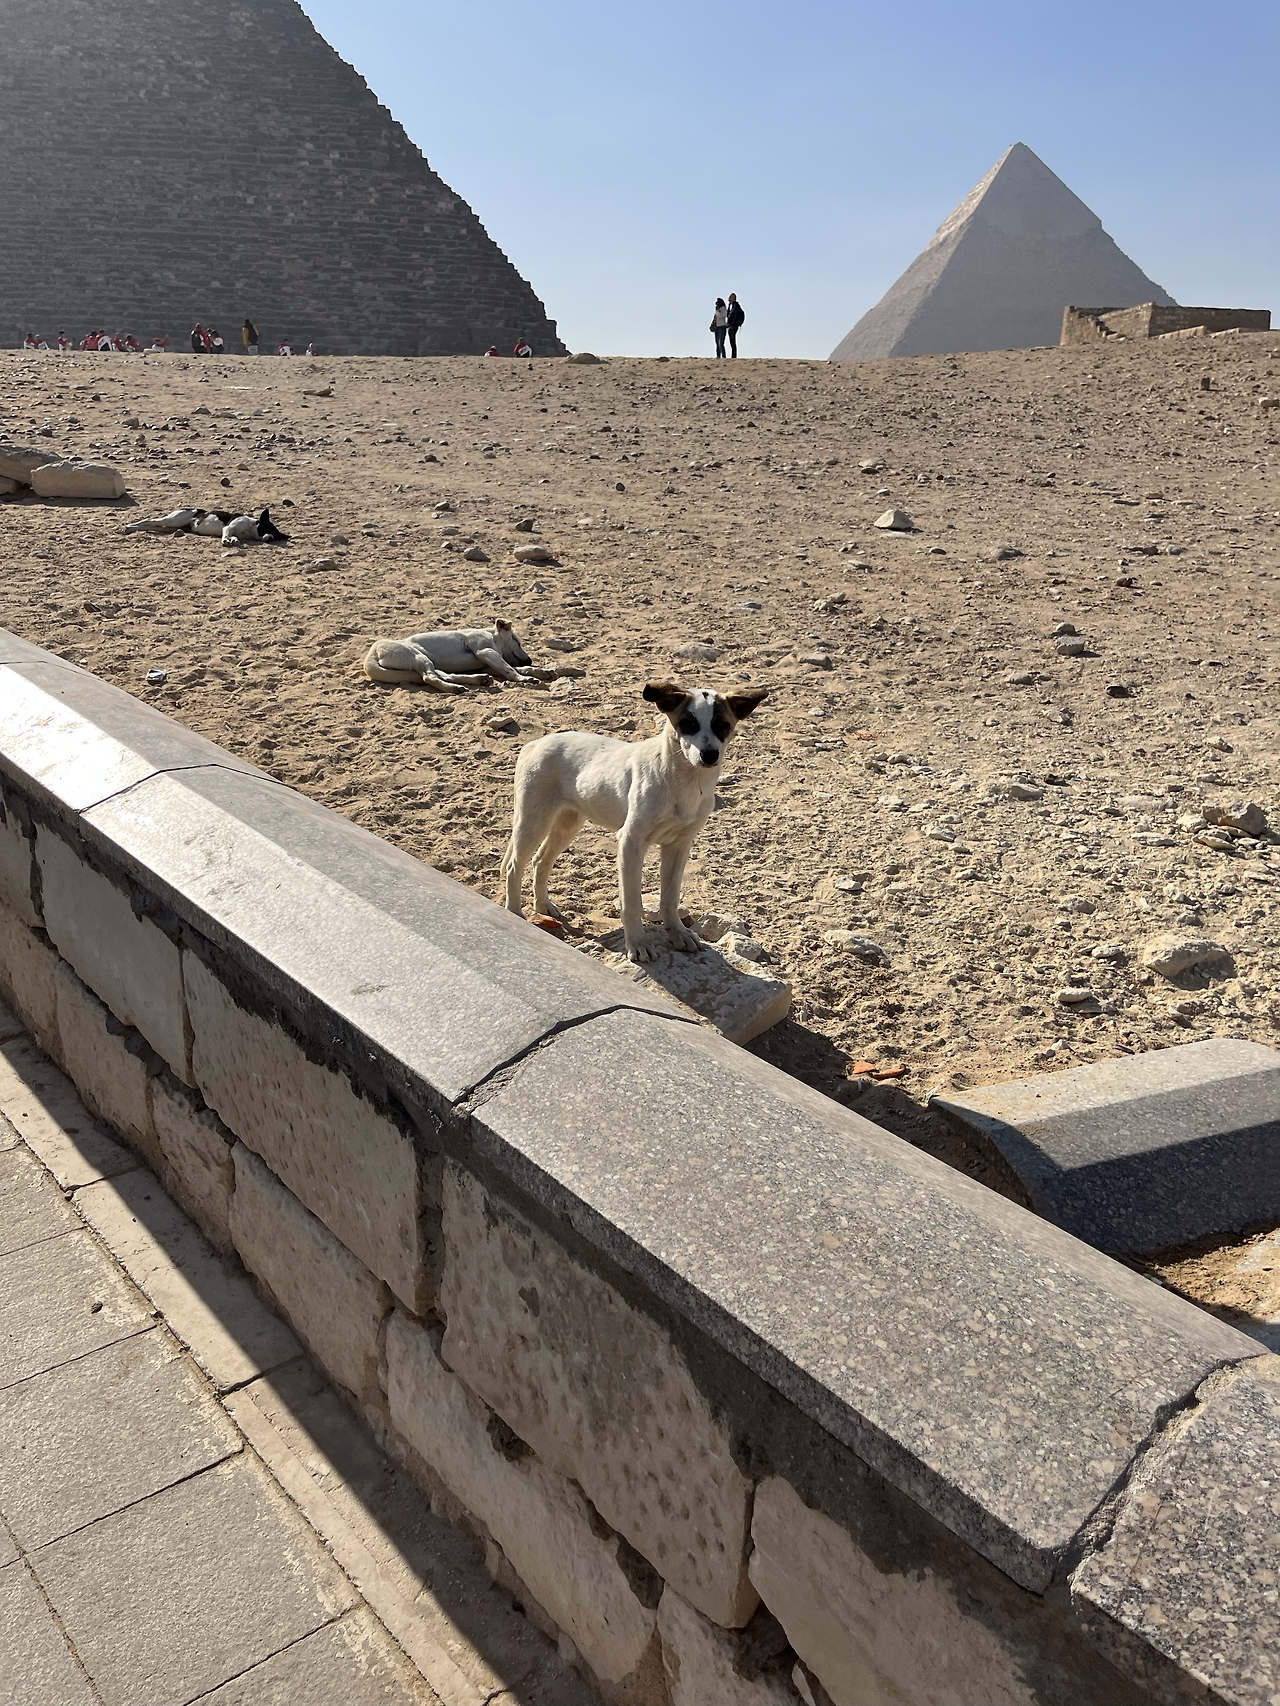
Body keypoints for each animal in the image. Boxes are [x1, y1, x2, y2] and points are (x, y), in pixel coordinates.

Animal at [362, 621, 543, 692]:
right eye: (516, 640)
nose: (530, 659)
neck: (493, 637)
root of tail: (372, 654)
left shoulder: (487, 662)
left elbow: (514, 667)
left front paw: (538, 670)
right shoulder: (485, 652)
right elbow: (510, 669)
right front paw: (524, 678)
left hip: (428, 662)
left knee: (444, 676)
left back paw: (478, 679)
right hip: (418, 657)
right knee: (429, 678)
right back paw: (453, 688)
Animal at [501, 680, 767, 962]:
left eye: (722, 725)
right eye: (688, 723)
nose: (709, 755)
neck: (683, 781)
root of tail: (536, 743)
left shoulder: (679, 846)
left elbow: (670, 898)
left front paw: (678, 933)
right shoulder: (631, 842)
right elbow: (632, 903)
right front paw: (637, 943)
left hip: (567, 824)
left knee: (541, 860)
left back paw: (542, 904)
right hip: (534, 821)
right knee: (514, 866)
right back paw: (515, 913)